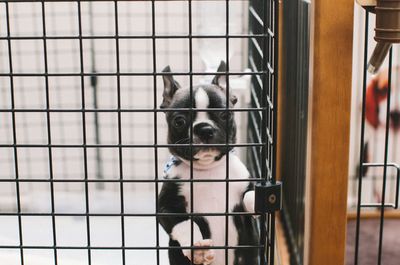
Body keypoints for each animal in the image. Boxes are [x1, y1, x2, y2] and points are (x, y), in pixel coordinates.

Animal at [159, 60, 260, 262]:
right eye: (179, 121)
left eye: (224, 115)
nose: (204, 129)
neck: (209, 170)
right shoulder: (167, 204)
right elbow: (184, 223)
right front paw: (197, 248)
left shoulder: (244, 184)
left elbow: (249, 194)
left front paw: (258, 200)